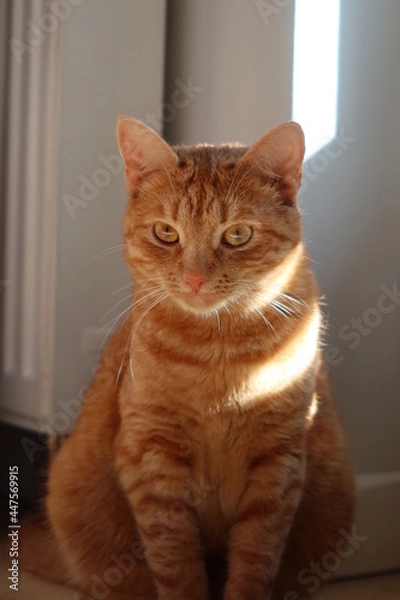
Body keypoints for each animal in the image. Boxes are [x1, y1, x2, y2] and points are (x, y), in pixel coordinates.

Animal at [21, 118, 354, 600]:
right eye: (166, 233)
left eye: (237, 235)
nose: (195, 279)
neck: (219, 356)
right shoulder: (152, 456)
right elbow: (176, 562)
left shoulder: (279, 462)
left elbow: (255, 560)